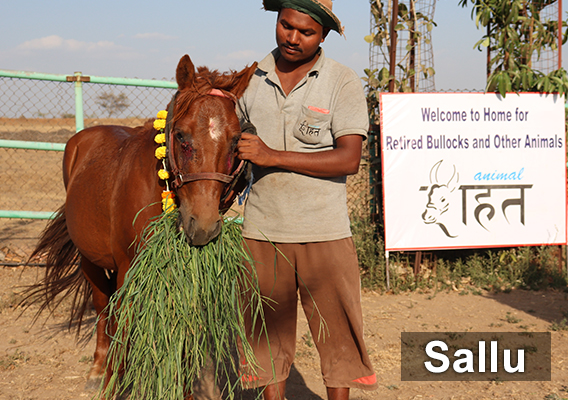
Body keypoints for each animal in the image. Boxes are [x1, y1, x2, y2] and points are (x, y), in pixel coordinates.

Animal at [26, 54, 258, 392]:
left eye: (235, 140)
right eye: (181, 136)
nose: (203, 226)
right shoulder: (127, 269)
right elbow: (121, 327)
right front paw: (111, 382)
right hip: (89, 260)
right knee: (102, 307)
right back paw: (98, 368)